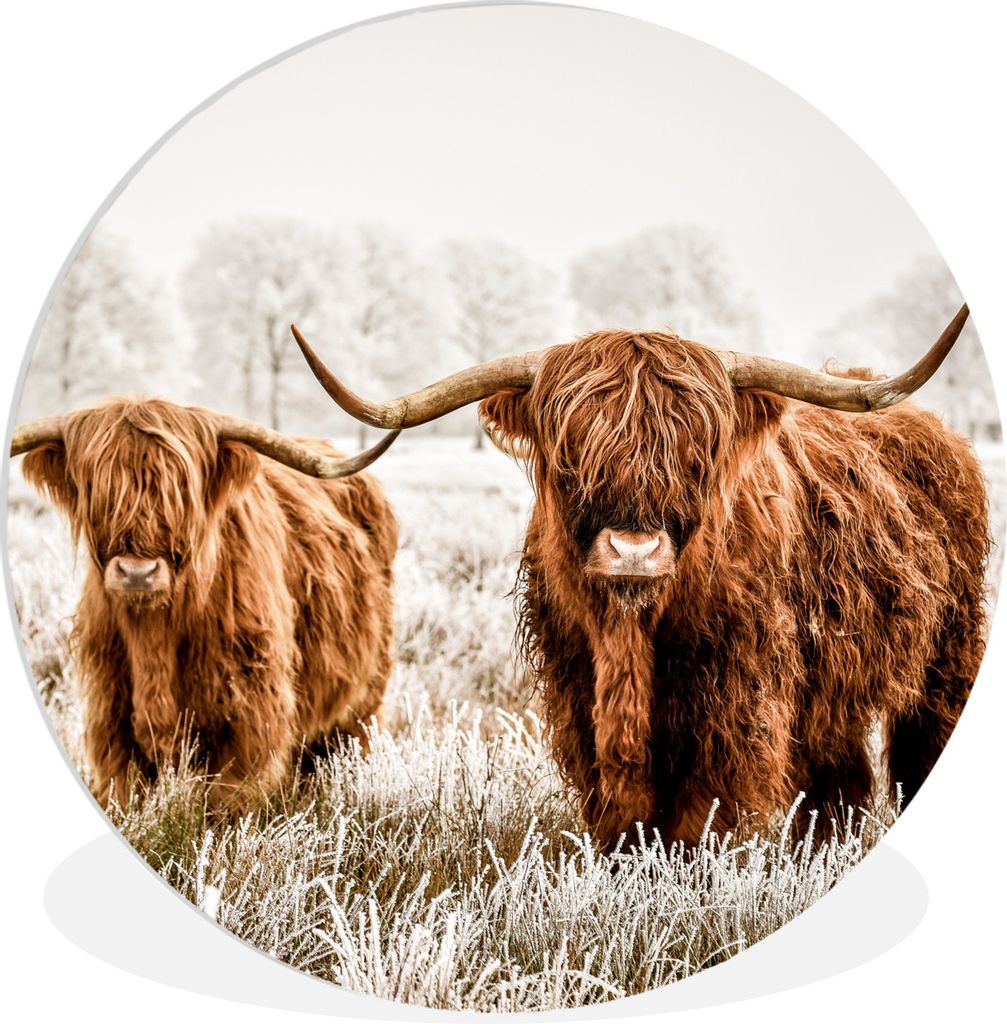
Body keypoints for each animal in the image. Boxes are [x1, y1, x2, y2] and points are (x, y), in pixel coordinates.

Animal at [11, 399, 400, 812]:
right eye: (96, 488)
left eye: (182, 490)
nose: (137, 573)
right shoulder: (109, 711)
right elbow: (125, 790)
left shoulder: (250, 710)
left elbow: (227, 799)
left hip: (365, 696)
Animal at [290, 305, 990, 849]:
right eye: (571, 452)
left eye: (697, 452)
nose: (634, 550)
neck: (632, 635)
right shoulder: (579, 693)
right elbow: (622, 817)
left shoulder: (738, 702)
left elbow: (702, 817)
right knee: (839, 780)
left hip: (949, 656)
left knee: (918, 750)